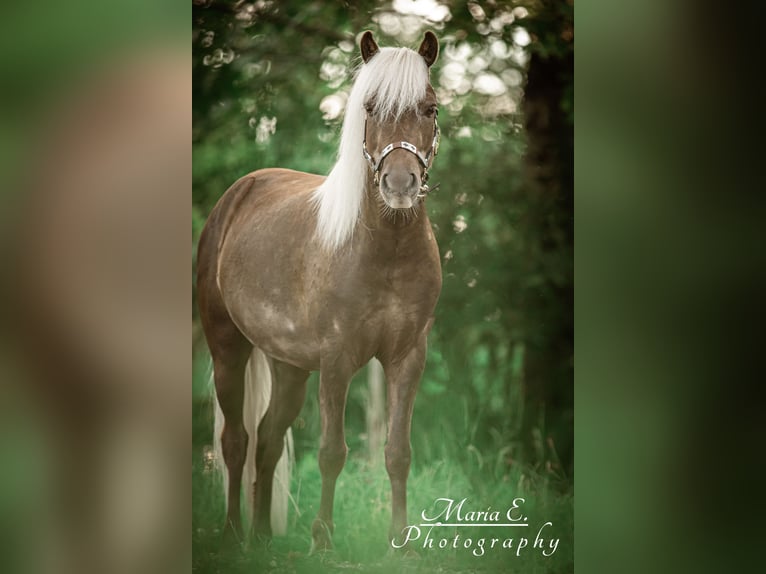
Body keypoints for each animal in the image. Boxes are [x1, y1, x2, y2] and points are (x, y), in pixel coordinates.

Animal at [198, 31, 444, 552]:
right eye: (370, 107)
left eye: (430, 108)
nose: (399, 183)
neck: (386, 251)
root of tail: (238, 193)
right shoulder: (337, 359)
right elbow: (333, 451)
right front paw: (323, 539)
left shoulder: (408, 357)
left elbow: (398, 451)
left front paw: (400, 541)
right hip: (228, 348)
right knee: (236, 441)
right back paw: (232, 533)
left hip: (289, 365)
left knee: (268, 438)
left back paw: (262, 537)